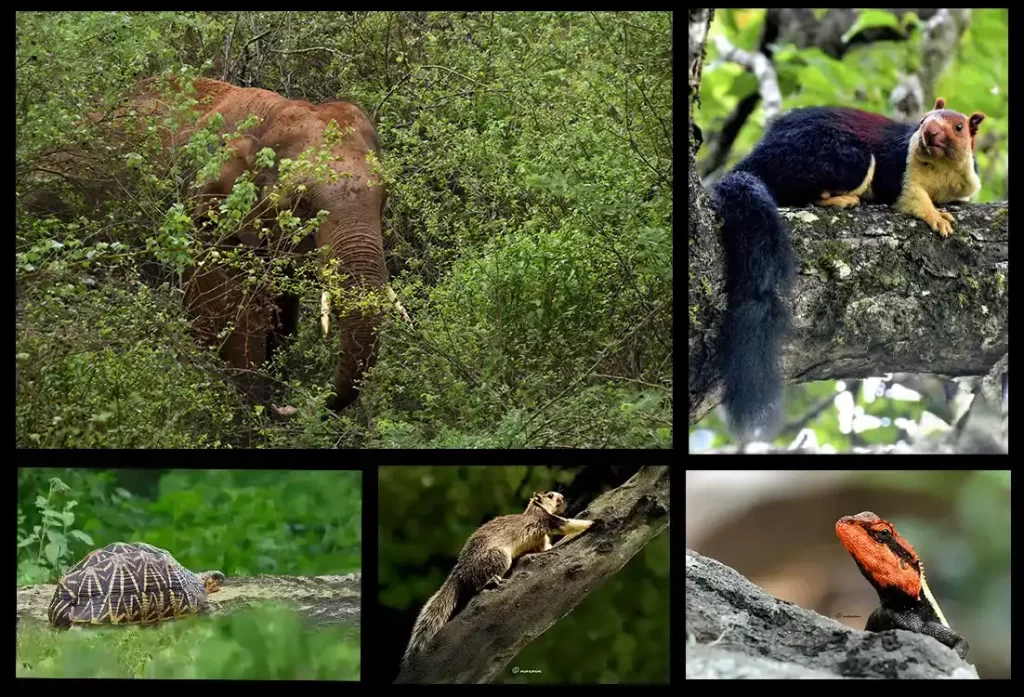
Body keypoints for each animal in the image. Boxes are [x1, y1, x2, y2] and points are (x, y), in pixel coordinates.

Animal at [123, 78, 391, 411]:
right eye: (301, 202)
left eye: (386, 195)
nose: (290, 406)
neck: (271, 116)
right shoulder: (201, 216)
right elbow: (226, 319)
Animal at [712, 97, 983, 440]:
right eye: (922, 120)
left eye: (959, 127)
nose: (929, 132)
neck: (942, 170)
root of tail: (755, 160)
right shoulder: (898, 170)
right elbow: (911, 199)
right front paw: (936, 217)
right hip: (840, 158)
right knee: (802, 192)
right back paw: (841, 199)